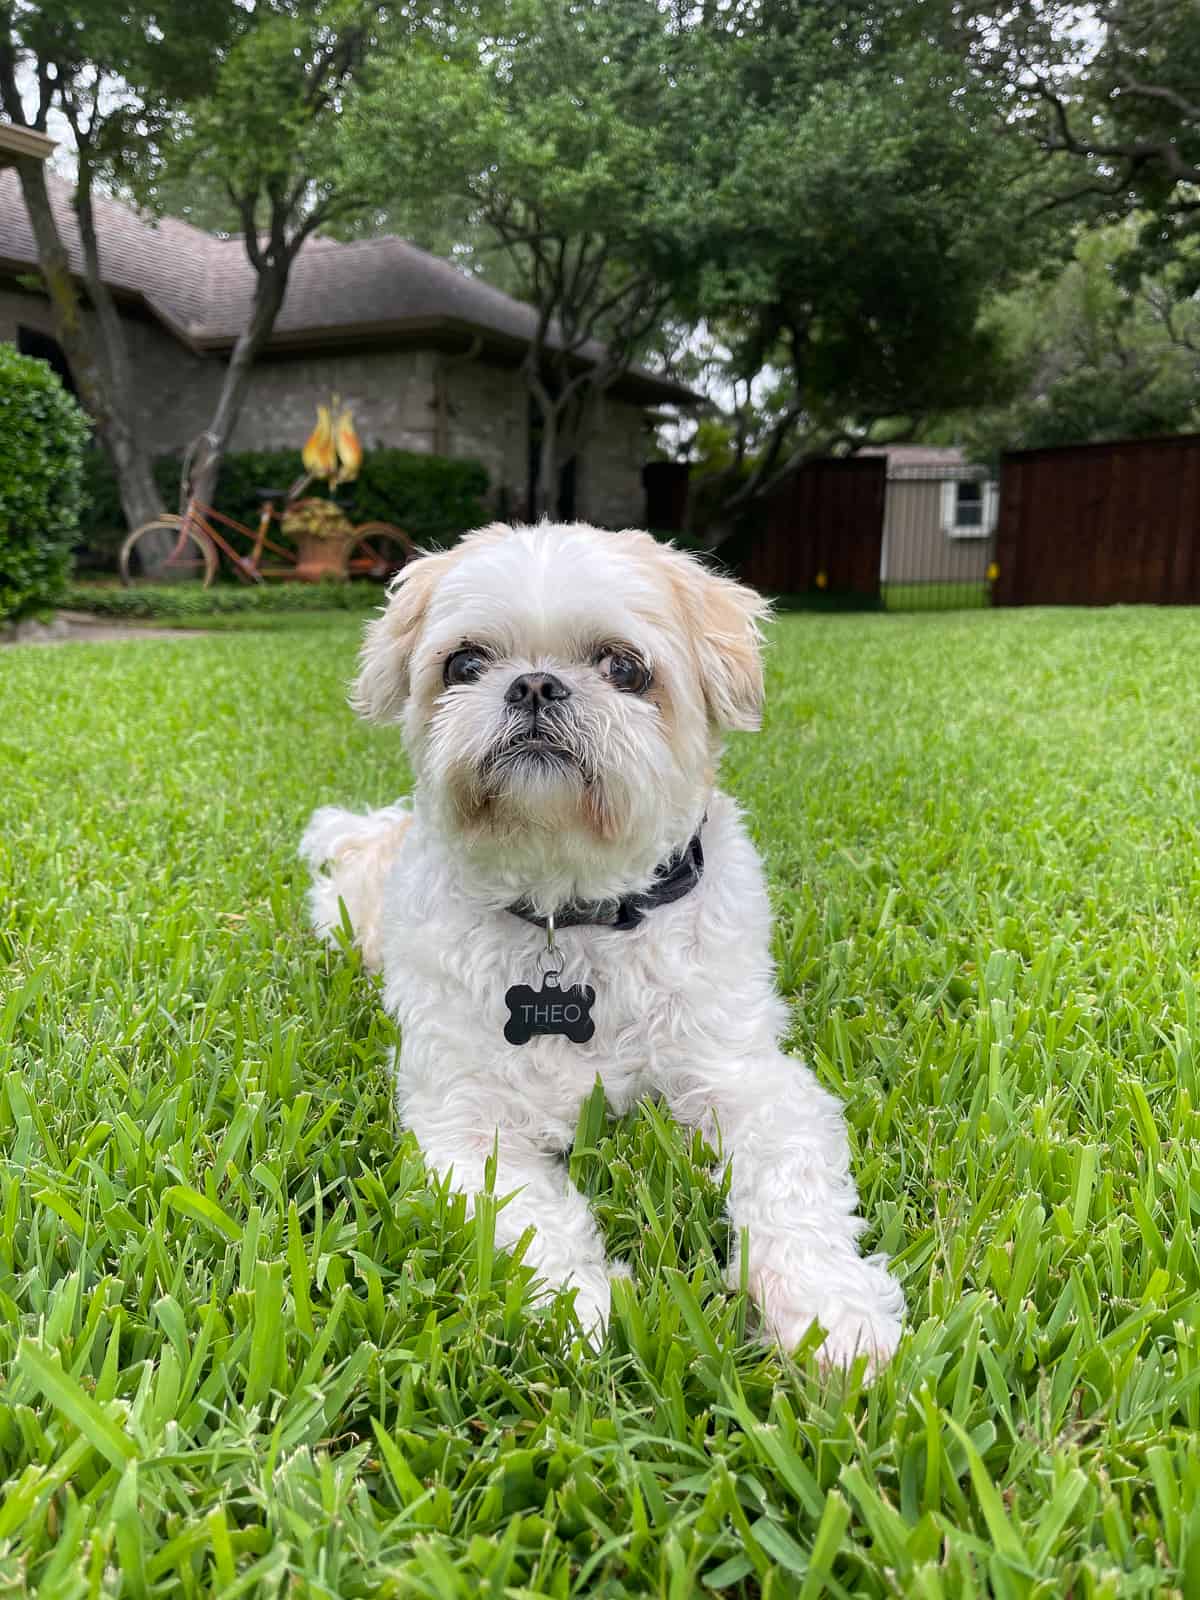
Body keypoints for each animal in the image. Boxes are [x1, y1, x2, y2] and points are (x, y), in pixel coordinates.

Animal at [300, 521, 902, 1363]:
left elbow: (793, 1191)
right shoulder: (465, 1121)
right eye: (465, 664)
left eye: (624, 667)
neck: (571, 910)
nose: (534, 685)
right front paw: (579, 1306)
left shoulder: (749, 1079)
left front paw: (832, 1316)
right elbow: (526, 1216)